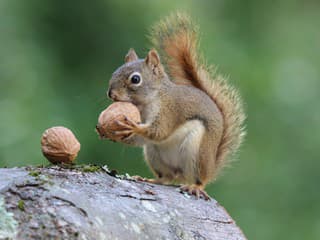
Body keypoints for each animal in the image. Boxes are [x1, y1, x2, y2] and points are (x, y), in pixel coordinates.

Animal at [107, 13, 245, 201]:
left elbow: (160, 131)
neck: (149, 101)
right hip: (153, 154)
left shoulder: (169, 111)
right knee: (167, 177)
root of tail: (211, 167)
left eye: (135, 79)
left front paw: (134, 127)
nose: (111, 94)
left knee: (199, 179)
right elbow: (141, 139)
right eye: (114, 72)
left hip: (197, 152)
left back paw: (195, 187)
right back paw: (150, 179)